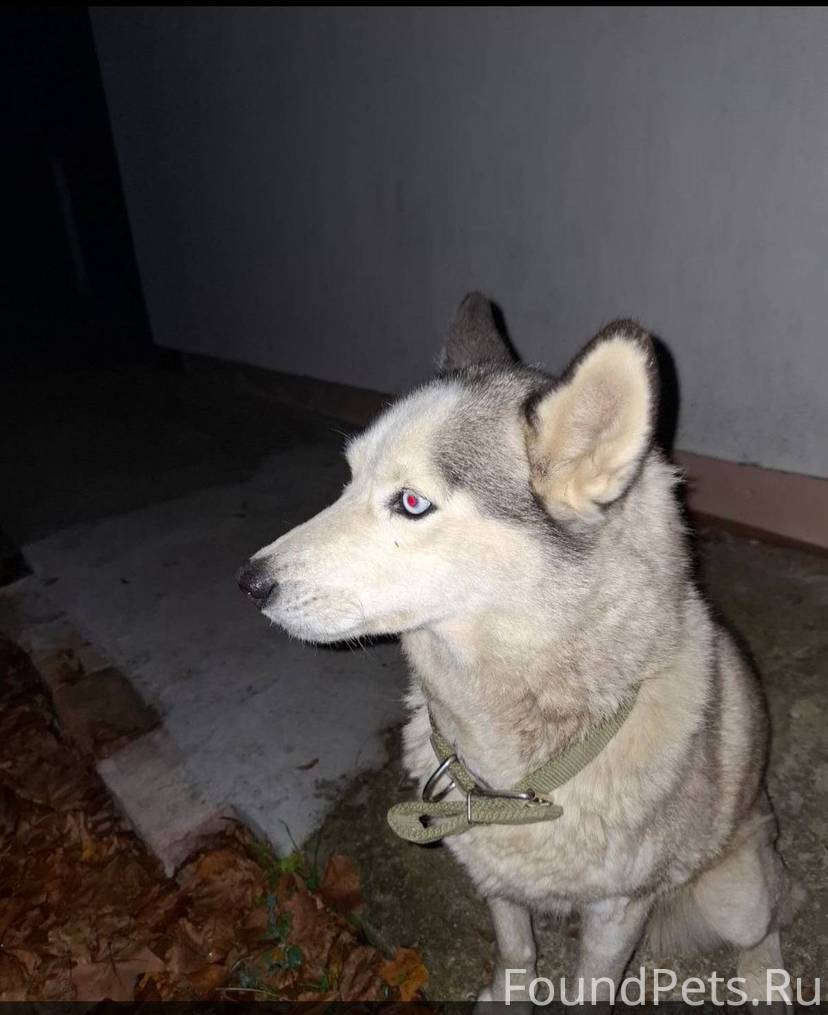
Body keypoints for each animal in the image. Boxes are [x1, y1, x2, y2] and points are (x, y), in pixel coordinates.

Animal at [238, 294, 794, 1004]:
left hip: (738, 892)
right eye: (349, 478)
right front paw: (510, 992)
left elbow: (589, 990)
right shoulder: (492, 873)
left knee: (766, 927)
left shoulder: (618, 912)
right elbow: (515, 949)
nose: (250, 582)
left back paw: (767, 983)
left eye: (411, 502)